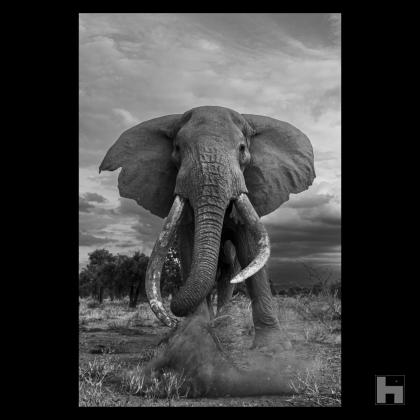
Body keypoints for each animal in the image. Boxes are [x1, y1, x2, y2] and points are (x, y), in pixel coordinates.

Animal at [100, 105, 314, 352]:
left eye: (242, 149)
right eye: (177, 149)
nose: (173, 319)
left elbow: (250, 249)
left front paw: (274, 349)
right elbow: (188, 248)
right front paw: (195, 335)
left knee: (229, 271)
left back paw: (223, 324)